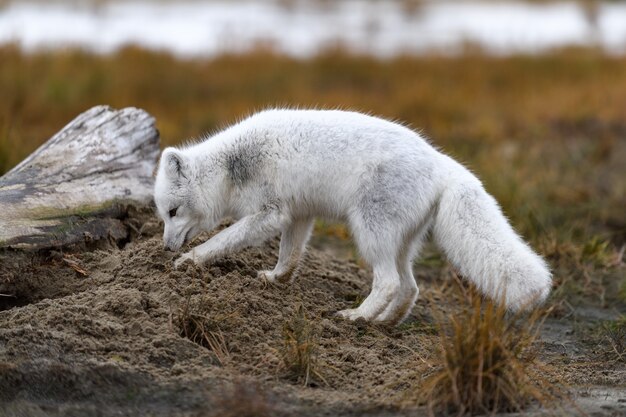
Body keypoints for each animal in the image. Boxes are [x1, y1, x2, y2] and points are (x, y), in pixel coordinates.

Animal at [154, 109, 548, 324]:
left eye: (173, 212)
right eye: (163, 215)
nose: (166, 246)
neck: (232, 165)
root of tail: (443, 163)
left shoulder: (270, 213)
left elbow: (223, 239)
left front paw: (191, 260)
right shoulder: (299, 215)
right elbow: (290, 255)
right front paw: (276, 279)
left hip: (369, 230)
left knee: (389, 282)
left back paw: (357, 317)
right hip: (399, 242)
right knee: (410, 286)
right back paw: (384, 323)